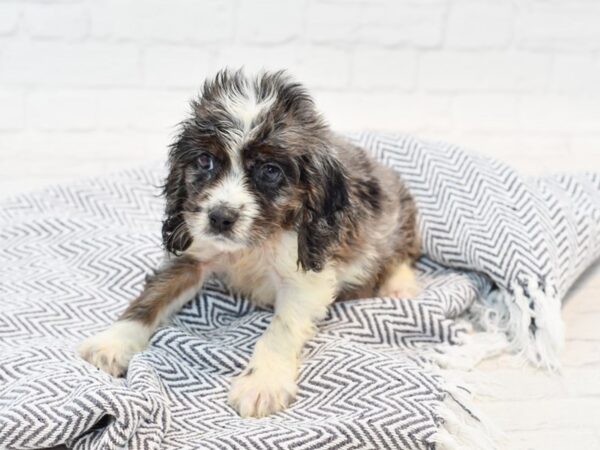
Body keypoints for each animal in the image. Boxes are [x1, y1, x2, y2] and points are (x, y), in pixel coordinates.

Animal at [77, 70, 420, 418]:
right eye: (205, 161)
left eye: (270, 171)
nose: (220, 217)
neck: (253, 245)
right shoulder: (192, 254)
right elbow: (153, 296)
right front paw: (114, 342)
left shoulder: (305, 278)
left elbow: (280, 328)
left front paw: (263, 383)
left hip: (397, 214)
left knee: (402, 252)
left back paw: (400, 285)